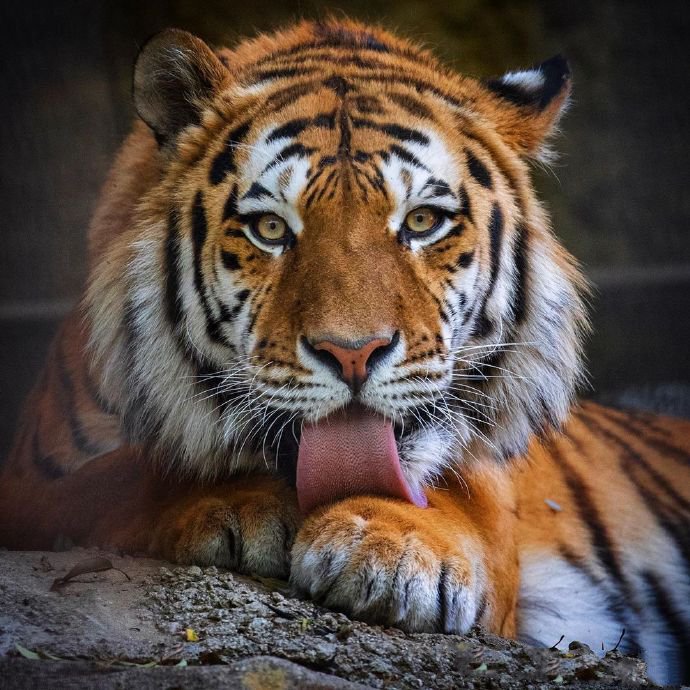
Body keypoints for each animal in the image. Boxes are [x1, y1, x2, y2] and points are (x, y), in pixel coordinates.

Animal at [1, 18, 688, 684]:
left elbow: (460, 500)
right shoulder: (26, 485)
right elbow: (115, 478)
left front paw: (389, 550)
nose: (354, 353)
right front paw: (237, 506)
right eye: (270, 228)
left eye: (422, 222)